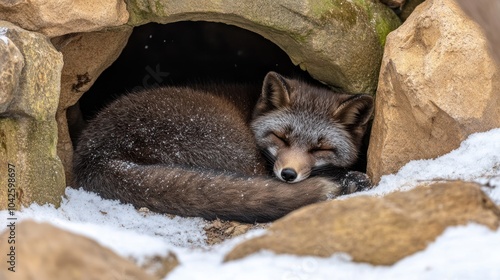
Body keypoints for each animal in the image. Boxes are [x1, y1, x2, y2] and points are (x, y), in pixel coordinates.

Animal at [72, 71, 374, 222]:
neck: (251, 109)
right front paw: (349, 178)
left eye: (319, 149)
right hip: (240, 151)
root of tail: (98, 154)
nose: (288, 175)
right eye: (281, 138)